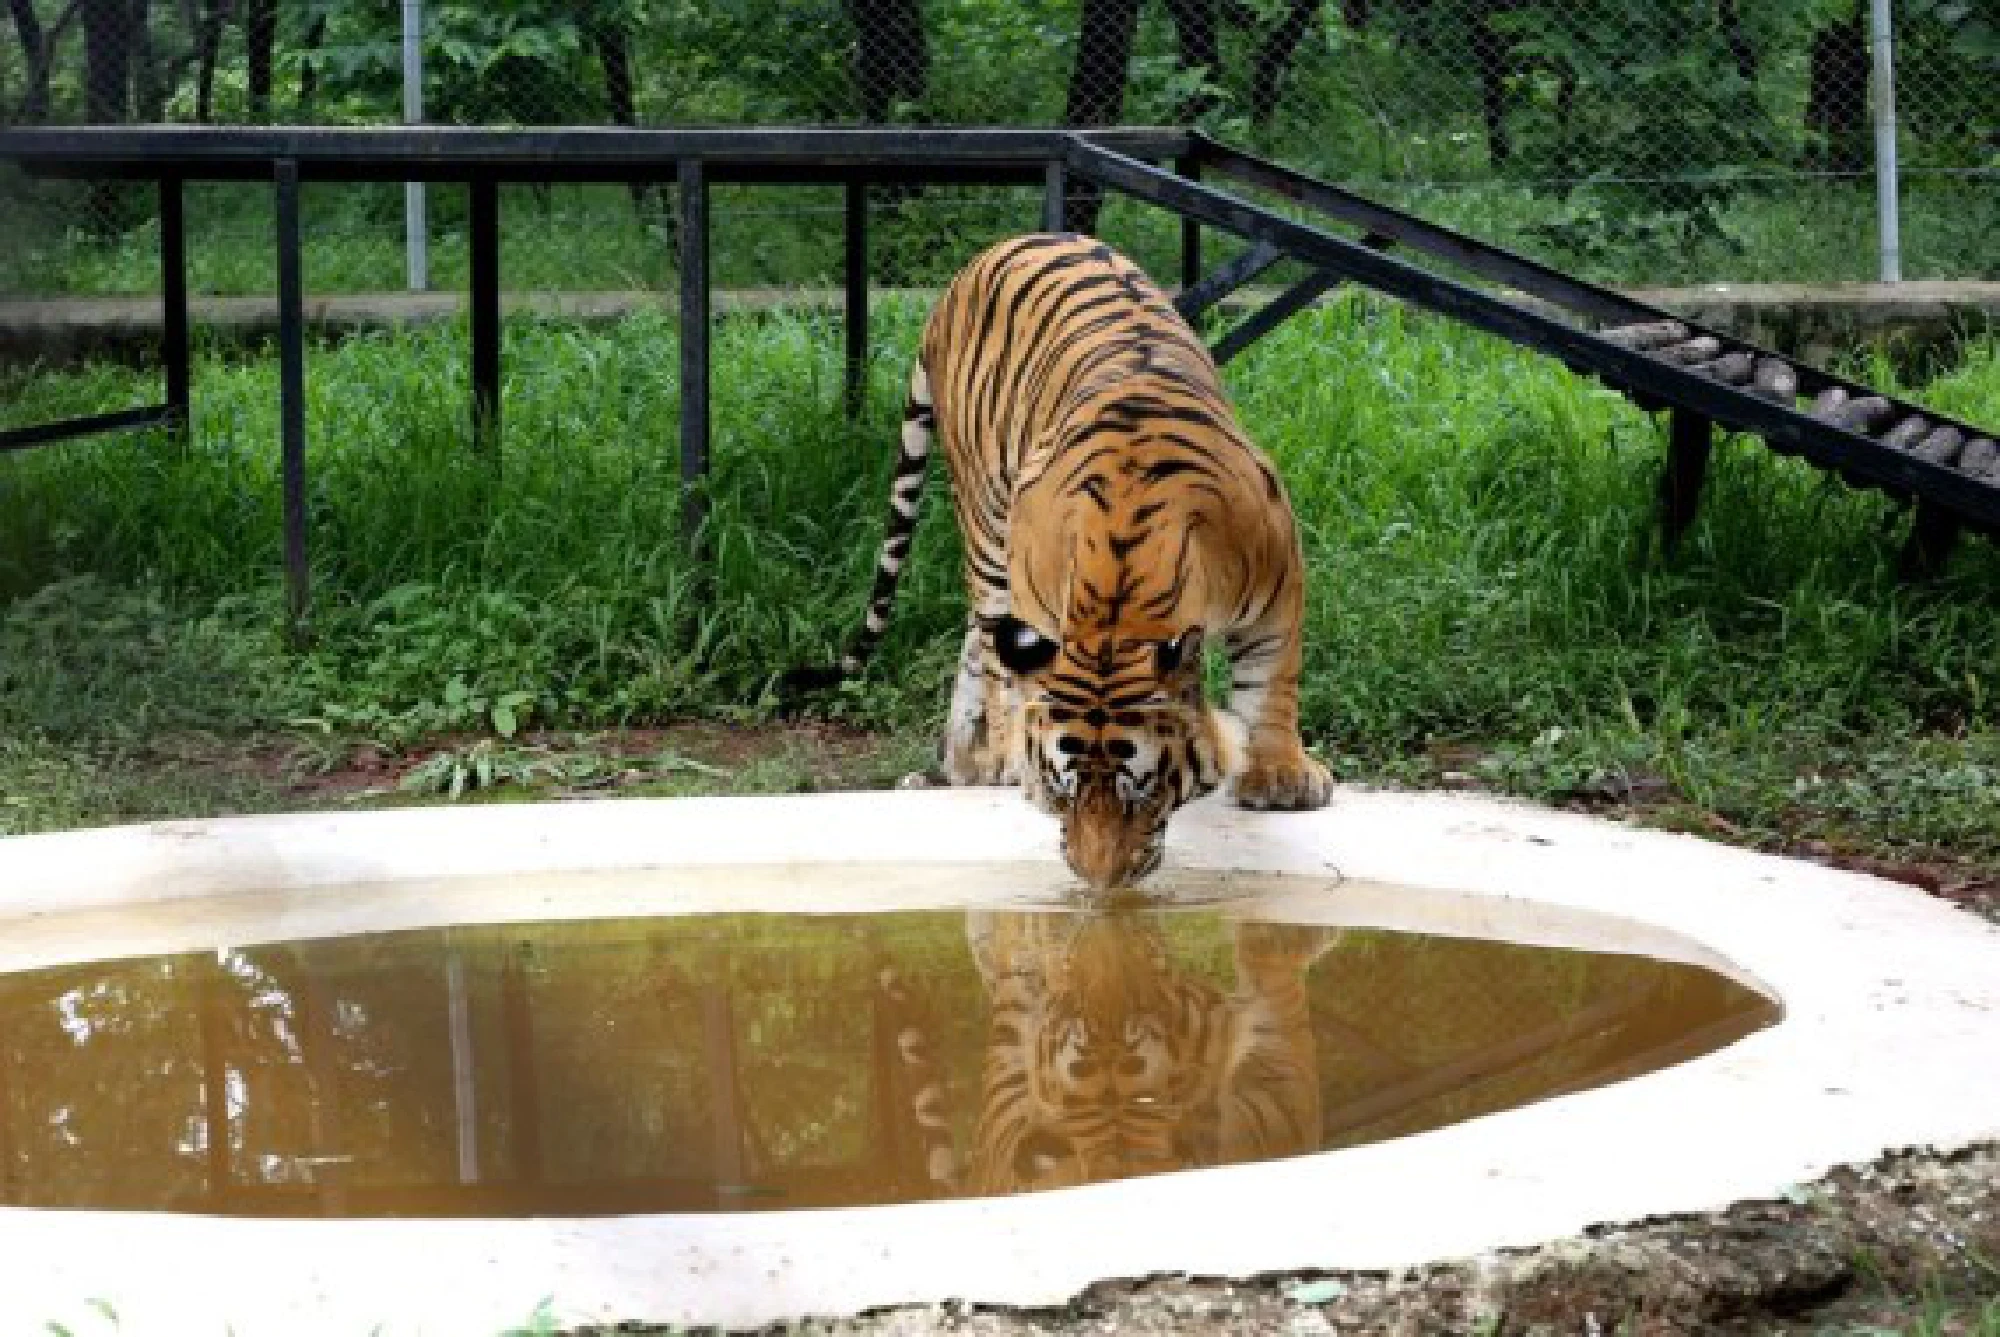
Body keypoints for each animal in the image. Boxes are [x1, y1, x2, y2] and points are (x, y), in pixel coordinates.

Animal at [793, 232, 1334, 891]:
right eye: (1061, 793)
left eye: (1143, 793)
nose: (1099, 884)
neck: (1122, 601)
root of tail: (965, 274)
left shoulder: (1279, 587)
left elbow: (1270, 682)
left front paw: (1281, 776)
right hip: (987, 522)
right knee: (988, 646)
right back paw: (994, 756)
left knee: (973, 643)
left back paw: (965, 763)